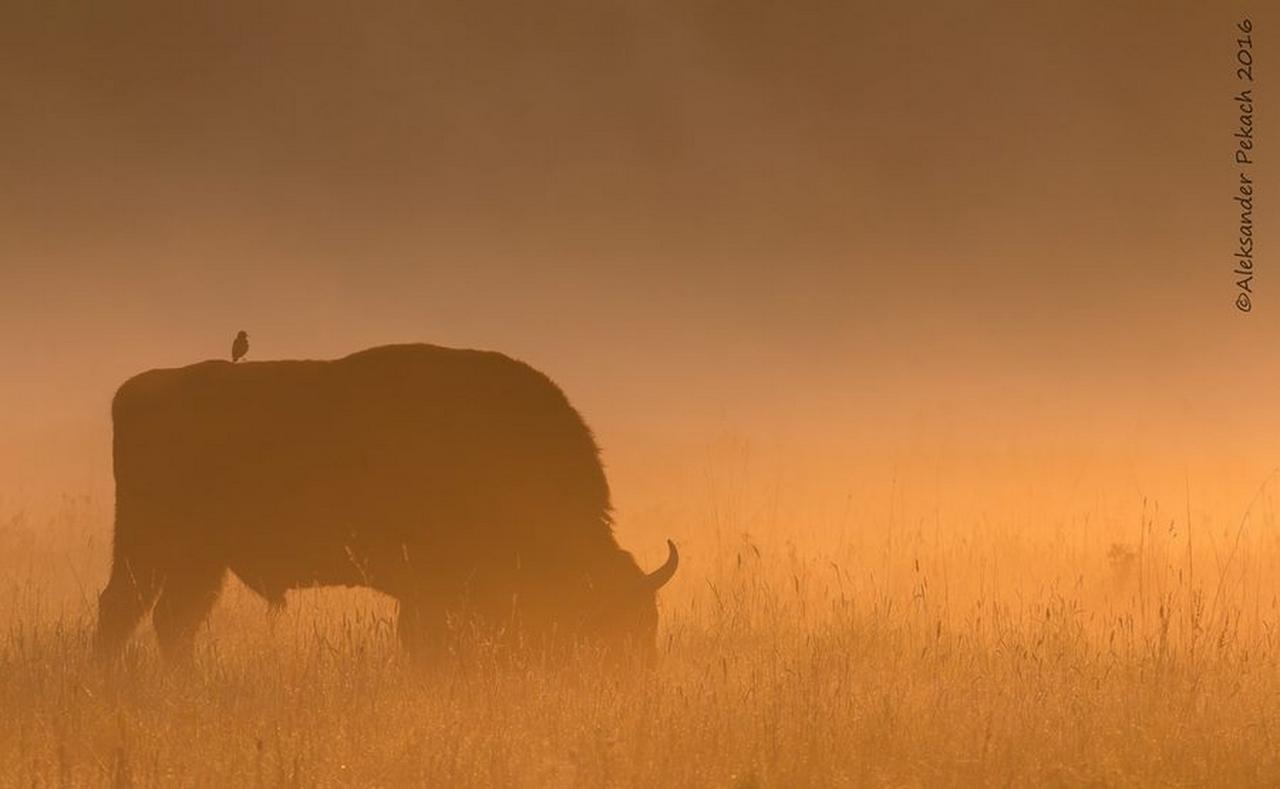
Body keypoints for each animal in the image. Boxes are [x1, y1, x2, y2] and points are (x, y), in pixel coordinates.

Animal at [93, 345, 680, 660]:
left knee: (172, 622)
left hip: (199, 562)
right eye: (610, 621)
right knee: (123, 610)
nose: (634, 673)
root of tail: (134, 390)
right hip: (150, 548)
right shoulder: (429, 590)